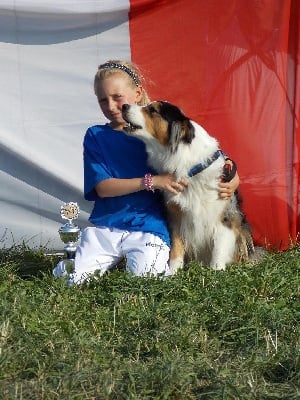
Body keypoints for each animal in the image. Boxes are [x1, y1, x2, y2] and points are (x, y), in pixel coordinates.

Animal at [122, 101, 255, 274]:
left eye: (152, 110)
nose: (124, 106)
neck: (190, 169)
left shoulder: (225, 216)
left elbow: (219, 249)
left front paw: (216, 272)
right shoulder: (176, 215)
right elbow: (177, 247)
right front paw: (173, 273)